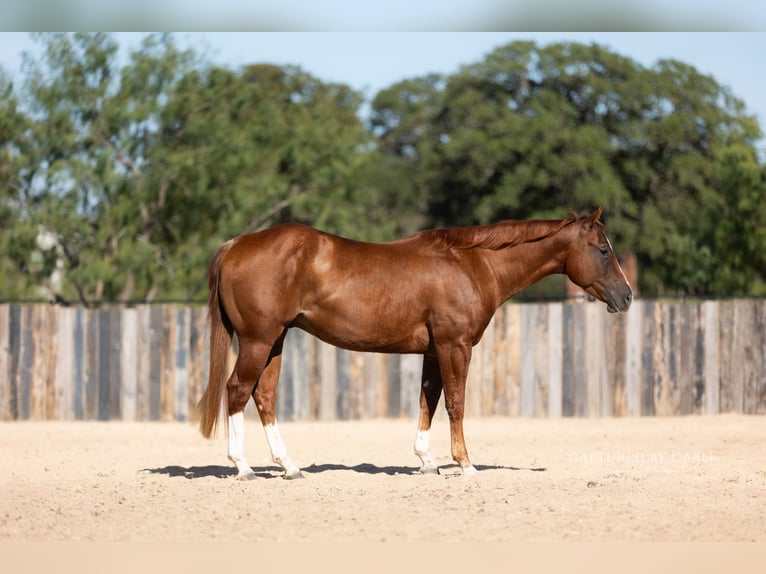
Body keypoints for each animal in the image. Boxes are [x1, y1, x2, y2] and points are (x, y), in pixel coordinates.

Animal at [192, 207, 632, 479]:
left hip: (275, 341)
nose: (626, 296)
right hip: (257, 340)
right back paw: (243, 466)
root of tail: (236, 244)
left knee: (263, 396)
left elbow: (428, 401)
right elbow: (455, 403)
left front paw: (427, 461)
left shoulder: (434, 351)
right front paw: (465, 464)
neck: (473, 263)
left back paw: (289, 466)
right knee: (237, 390)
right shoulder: (456, 346)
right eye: (603, 250)